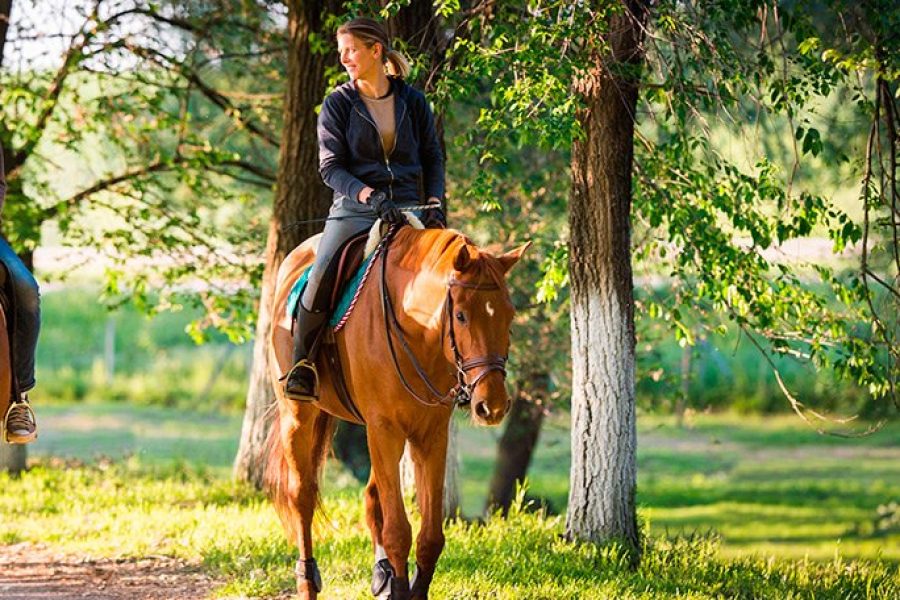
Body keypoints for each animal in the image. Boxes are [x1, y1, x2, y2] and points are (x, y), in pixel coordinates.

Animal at [264, 226, 528, 600]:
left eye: (509, 314)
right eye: (461, 315)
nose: (492, 406)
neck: (415, 328)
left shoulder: (430, 435)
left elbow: (429, 537)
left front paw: (405, 585)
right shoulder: (384, 429)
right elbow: (398, 532)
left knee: (372, 497)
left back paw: (382, 575)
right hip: (299, 418)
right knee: (302, 496)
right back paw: (308, 581)